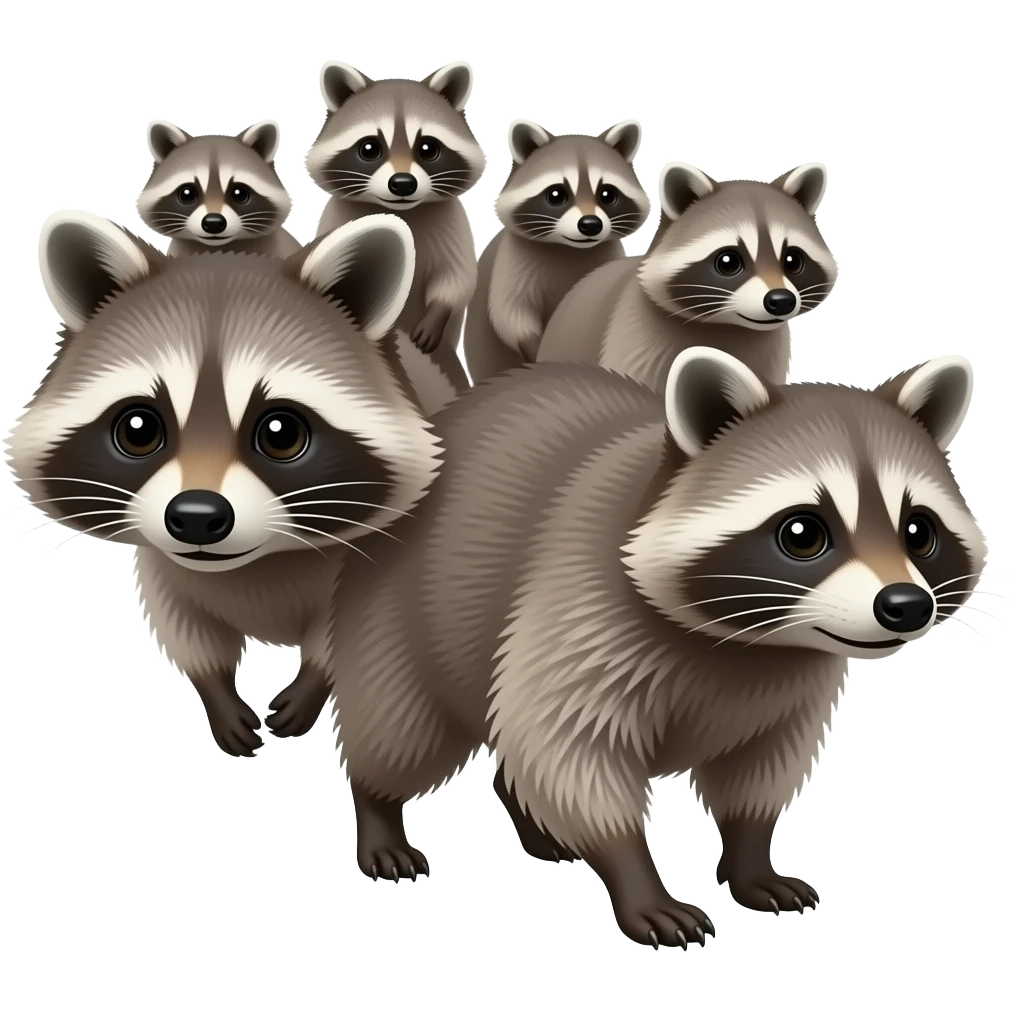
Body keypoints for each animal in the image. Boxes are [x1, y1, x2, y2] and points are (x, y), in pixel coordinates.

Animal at [9, 210, 440, 758]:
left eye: (280, 433)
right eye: (139, 430)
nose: (196, 516)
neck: (258, 564)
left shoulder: (367, 562)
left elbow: (342, 633)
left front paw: (313, 682)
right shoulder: (166, 565)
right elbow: (187, 630)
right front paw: (216, 692)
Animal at [305, 60, 487, 412]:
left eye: (428, 148)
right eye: (369, 148)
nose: (402, 183)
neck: (403, 211)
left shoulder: (453, 224)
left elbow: (456, 278)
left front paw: (437, 311)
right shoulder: (339, 217)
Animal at [314, 348, 985, 948]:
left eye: (918, 531)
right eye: (802, 533)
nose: (906, 605)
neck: (748, 640)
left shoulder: (795, 680)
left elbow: (761, 769)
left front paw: (751, 857)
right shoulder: (580, 607)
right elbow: (571, 750)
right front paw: (637, 879)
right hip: (399, 615)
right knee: (404, 727)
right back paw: (379, 813)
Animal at [462, 118, 651, 384]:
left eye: (607, 194)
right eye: (556, 195)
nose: (590, 224)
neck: (570, 249)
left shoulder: (606, 261)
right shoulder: (513, 261)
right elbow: (510, 315)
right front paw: (534, 345)